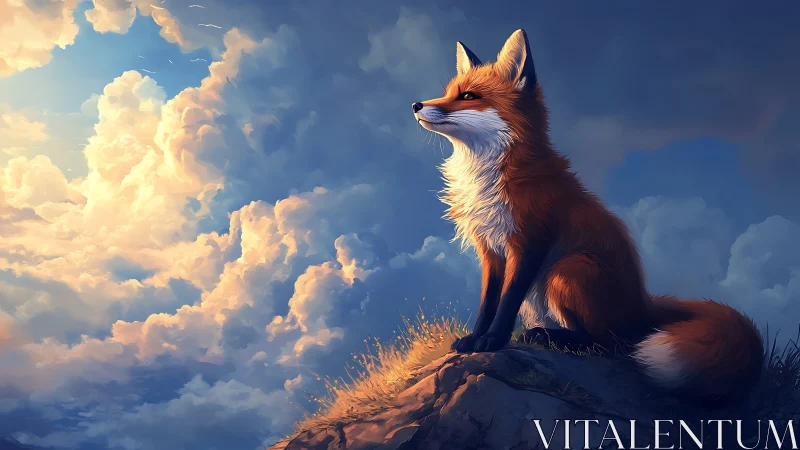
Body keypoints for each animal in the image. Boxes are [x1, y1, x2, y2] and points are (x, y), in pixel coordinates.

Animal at [411, 29, 764, 403]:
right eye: (449, 92)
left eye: (468, 96)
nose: (416, 105)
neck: (488, 174)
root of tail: (643, 306)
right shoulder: (490, 249)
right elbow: (487, 302)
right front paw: (475, 338)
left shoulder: (529, 242)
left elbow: (507, 301)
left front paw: (493, 341)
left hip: (566, 271)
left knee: (611, 344)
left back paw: (551, 338)